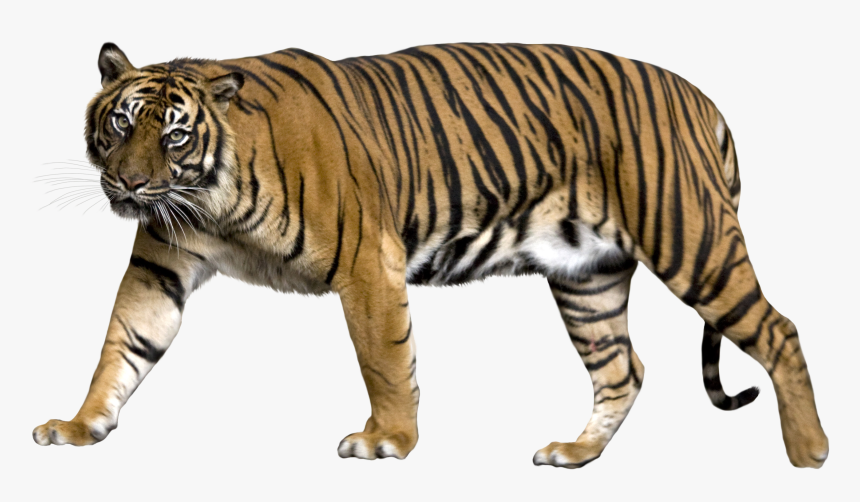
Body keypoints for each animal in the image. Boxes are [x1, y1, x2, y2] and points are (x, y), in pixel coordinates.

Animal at [33, 42, 828, 469]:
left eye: (173, 134)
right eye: (119, 124)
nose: (129, 184)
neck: (209, 199)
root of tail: (700, 97)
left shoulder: (367, 262)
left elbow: (384, 358)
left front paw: (387, 440)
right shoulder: (159, 266)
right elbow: (121, 346)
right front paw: (80, 425)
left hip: (691, 240)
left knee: (779, 329)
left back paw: (810, 452)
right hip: (588, 279)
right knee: (622, 369)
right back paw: (574, 455)